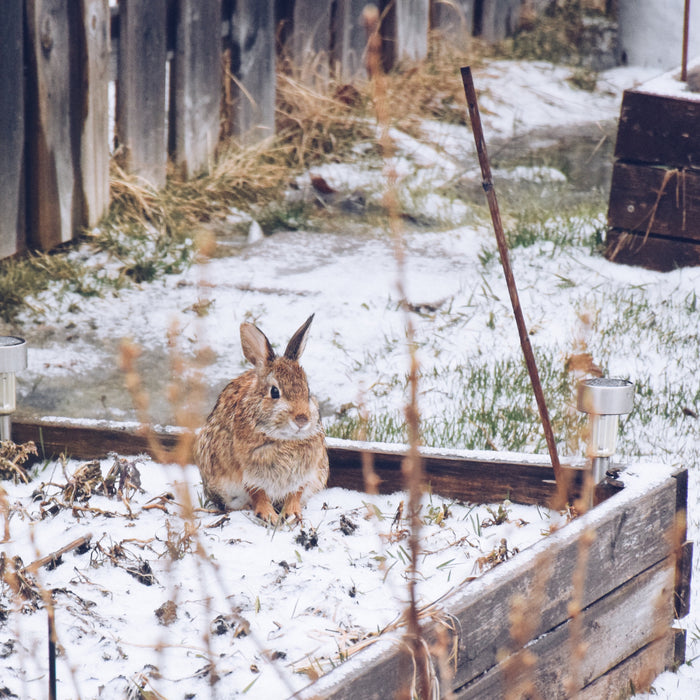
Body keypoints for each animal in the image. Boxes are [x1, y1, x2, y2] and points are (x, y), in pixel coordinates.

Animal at [194, 314, 328, 523]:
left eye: (307, 391)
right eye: (274, 392)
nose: (302, 420)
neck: (284, 439)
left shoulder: (304, 474)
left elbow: (295, 493)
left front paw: (292, 514)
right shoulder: (249, 474)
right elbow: (258, 493)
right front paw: (268, 516)